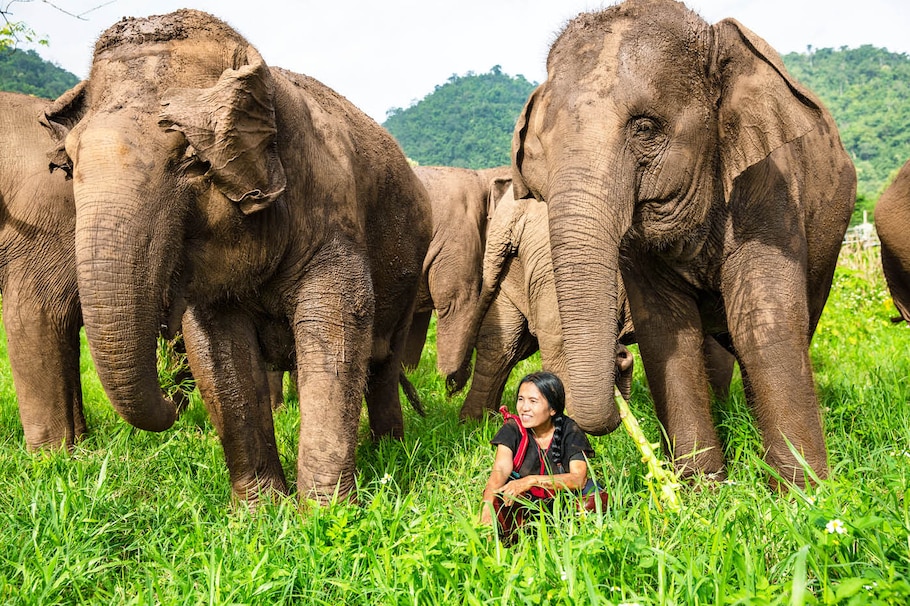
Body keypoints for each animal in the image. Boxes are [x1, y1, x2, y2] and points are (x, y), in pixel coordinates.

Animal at [39, 9, 432, 506]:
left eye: (191, 161)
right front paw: (262, 510)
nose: (173, 404)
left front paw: (325, 512)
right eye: (69, 166)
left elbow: (337, 325)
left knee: (383, 362)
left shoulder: (333, 213)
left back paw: (388, 448)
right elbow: (216, 346)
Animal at [460, 190, 736, 422]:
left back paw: (477, 424)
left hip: (511, 274)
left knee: (501, 344)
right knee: (556, 343)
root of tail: (514, 214)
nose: (622, 355)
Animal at [512, 0, 856, 486]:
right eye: (539, 147)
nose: (619, 357)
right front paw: (700, 491)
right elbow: (665, 329)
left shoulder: (770, 178)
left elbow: (764, 317)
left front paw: (804, 495)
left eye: (645, 128)